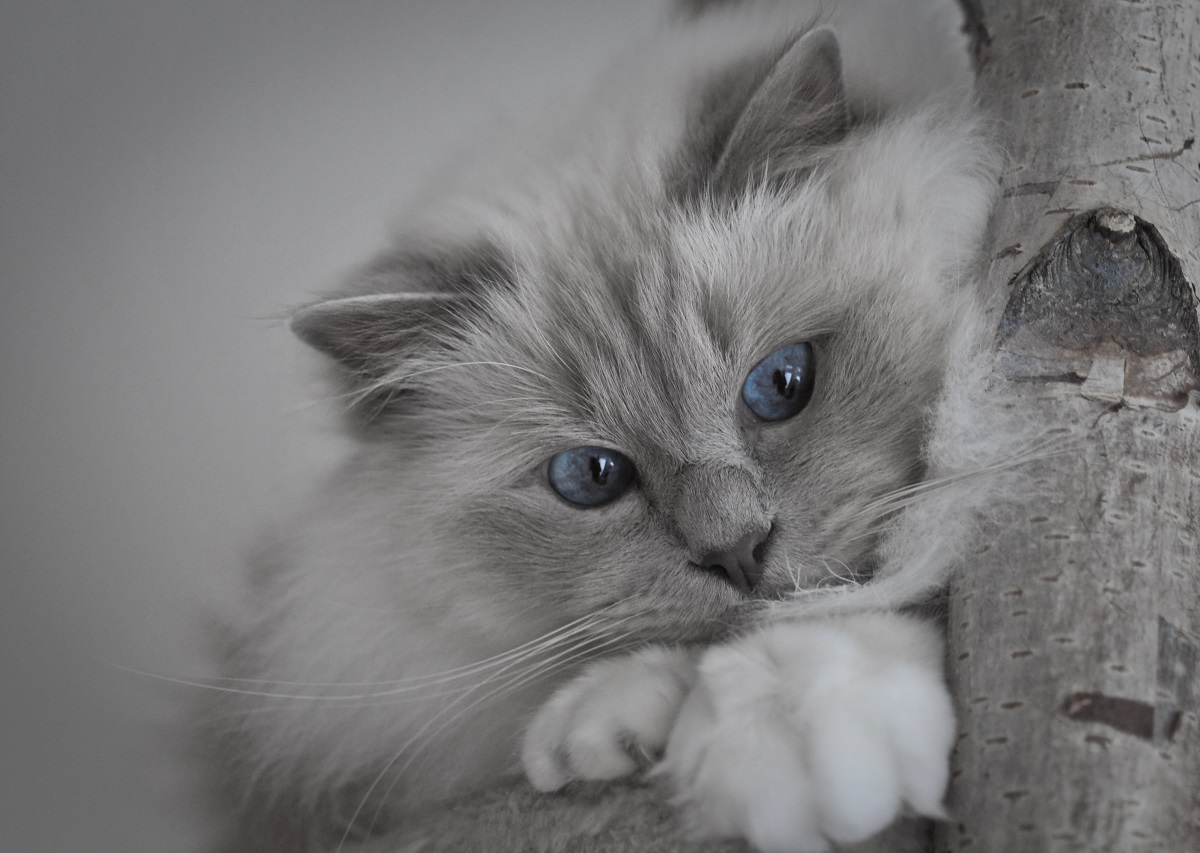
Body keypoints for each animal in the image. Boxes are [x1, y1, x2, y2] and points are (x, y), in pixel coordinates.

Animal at [208, 1, 1012, 853]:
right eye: (591, 477)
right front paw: (604, 728)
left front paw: (791, 725)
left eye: (781, 383)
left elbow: (901, 580)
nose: (735, 549)